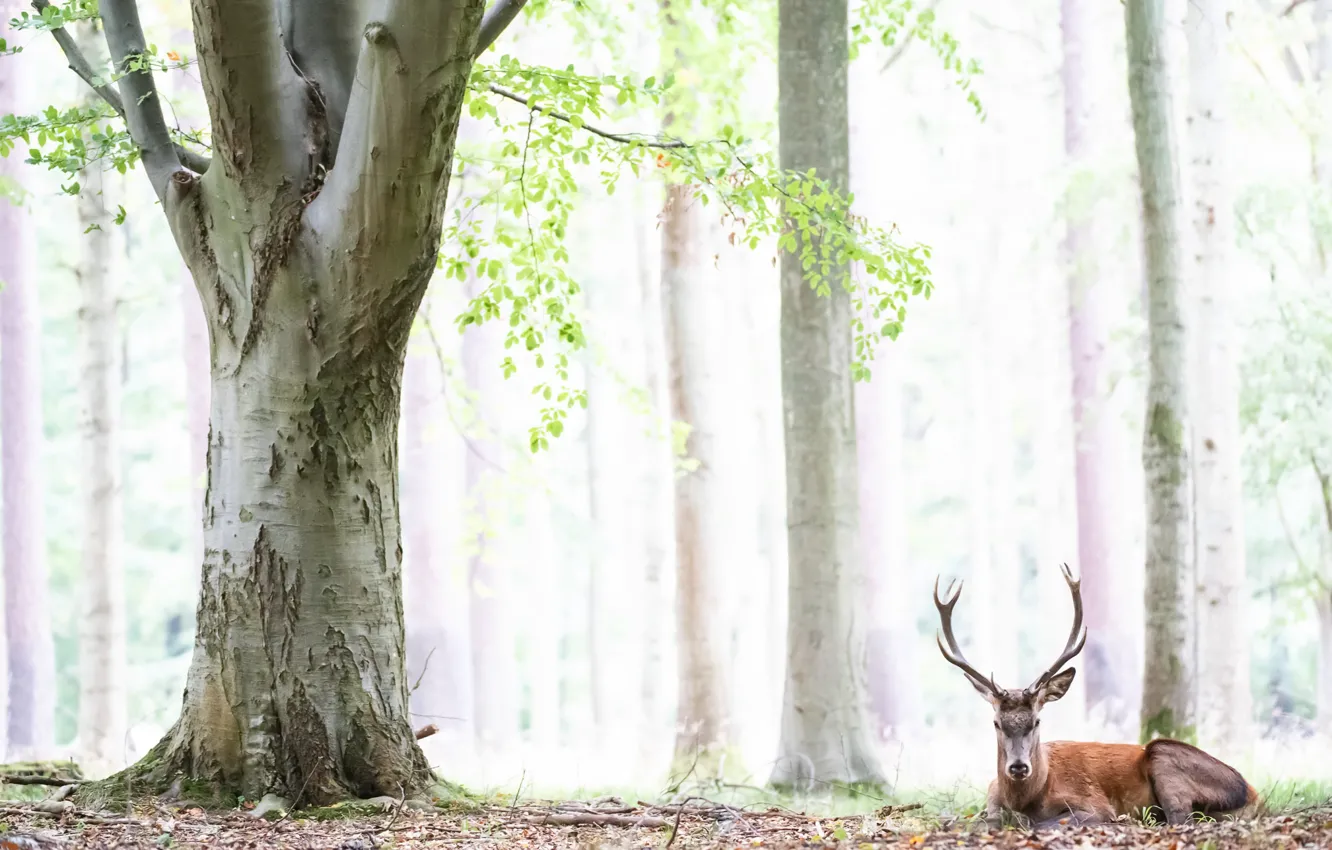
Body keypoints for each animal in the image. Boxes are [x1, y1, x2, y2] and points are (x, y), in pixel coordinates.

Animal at [933, 563, 1259, 829]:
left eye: (1037, 721)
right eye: (996, 723)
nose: (1018, 767)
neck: (1028, 797)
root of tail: (1253, 792)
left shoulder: (1093, 803)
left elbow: (1047, 823)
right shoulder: (991, 802)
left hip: (1164, 756)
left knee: (1181, 818)